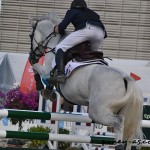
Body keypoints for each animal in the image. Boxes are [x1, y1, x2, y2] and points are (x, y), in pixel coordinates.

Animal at [28, 12, 143, 149]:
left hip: (98, 112)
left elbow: (35, 67)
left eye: (30, 36)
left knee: (119, 122)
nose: (32, 55)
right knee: (128, 132)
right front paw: (48, 92)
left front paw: (42, 89)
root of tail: (125, 78)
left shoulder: (46, 70)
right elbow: (39, 70)